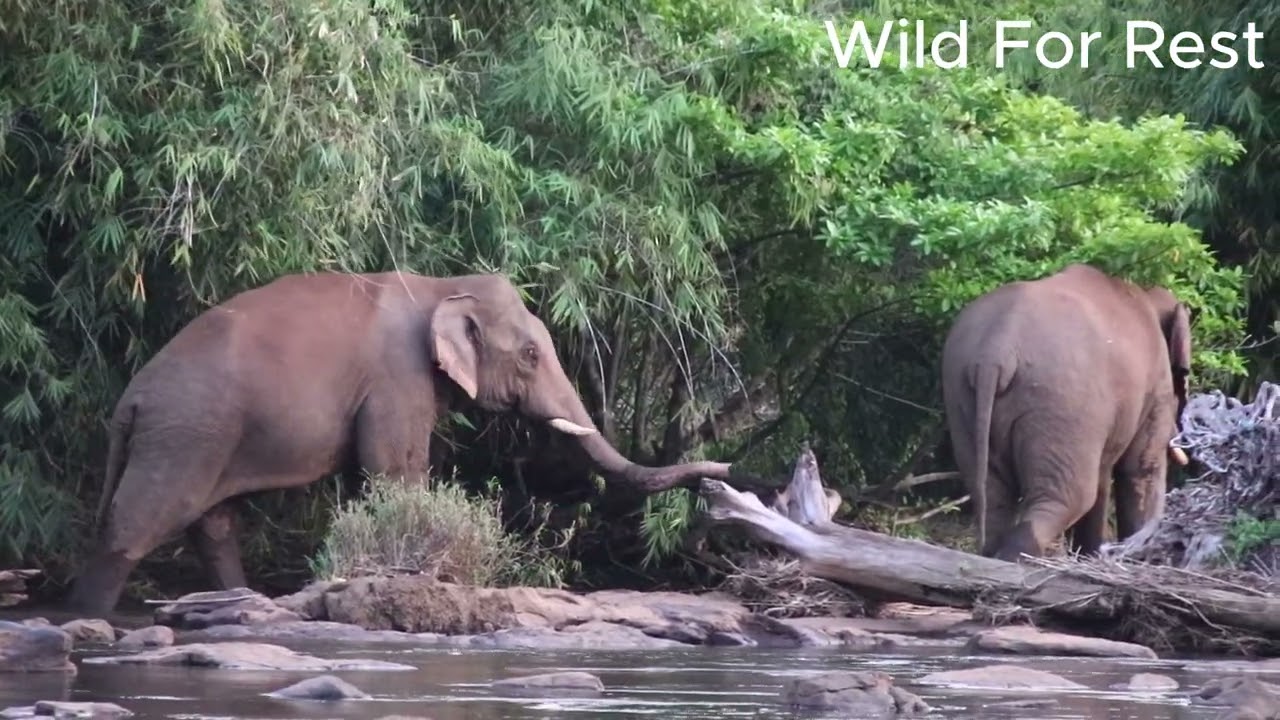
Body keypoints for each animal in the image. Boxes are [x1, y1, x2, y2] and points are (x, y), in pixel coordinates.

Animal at [65, 271, 733, 614]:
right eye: (530, 354)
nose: (721, 472)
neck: (442, 284)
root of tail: (130, 400)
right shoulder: (397, 375)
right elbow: (394, 469)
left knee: (214, 525)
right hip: (186, 432)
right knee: (139, 523)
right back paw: (89, 618)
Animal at [940, 263, 1192, 562]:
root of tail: (994, 353)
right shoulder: (1155, 387)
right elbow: (1141, 469)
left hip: (961, 396)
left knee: (993, 498)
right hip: (1060, 405)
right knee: (1069, 498)